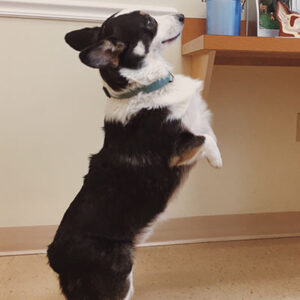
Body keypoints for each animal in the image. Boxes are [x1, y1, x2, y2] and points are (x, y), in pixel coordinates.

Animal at [47, 9, 223, 300]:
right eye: (149, 22)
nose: (182, 15)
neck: (142, 88)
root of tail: (56, 258)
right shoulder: (177, 151)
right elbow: (205, 137)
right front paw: (217, 160)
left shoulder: (197, 119)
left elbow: (209, 130)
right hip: (120, 268)